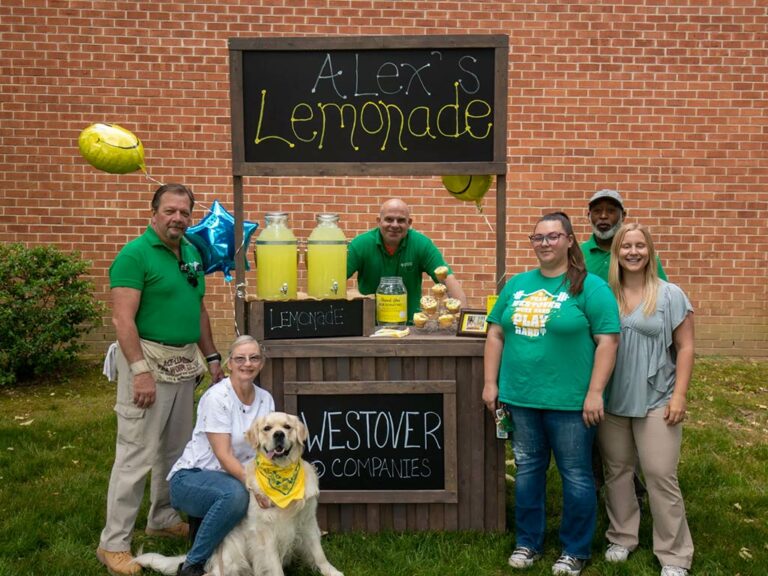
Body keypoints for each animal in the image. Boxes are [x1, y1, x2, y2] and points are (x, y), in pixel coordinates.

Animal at [134, 412, 344, 576]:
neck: (281, 474)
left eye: (287, 426)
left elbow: (318, 553)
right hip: (232, 554)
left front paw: (332, 572)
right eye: (267, 428)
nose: (278, 434)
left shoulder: (307, 520)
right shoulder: (265, 533)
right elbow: (274, 564)